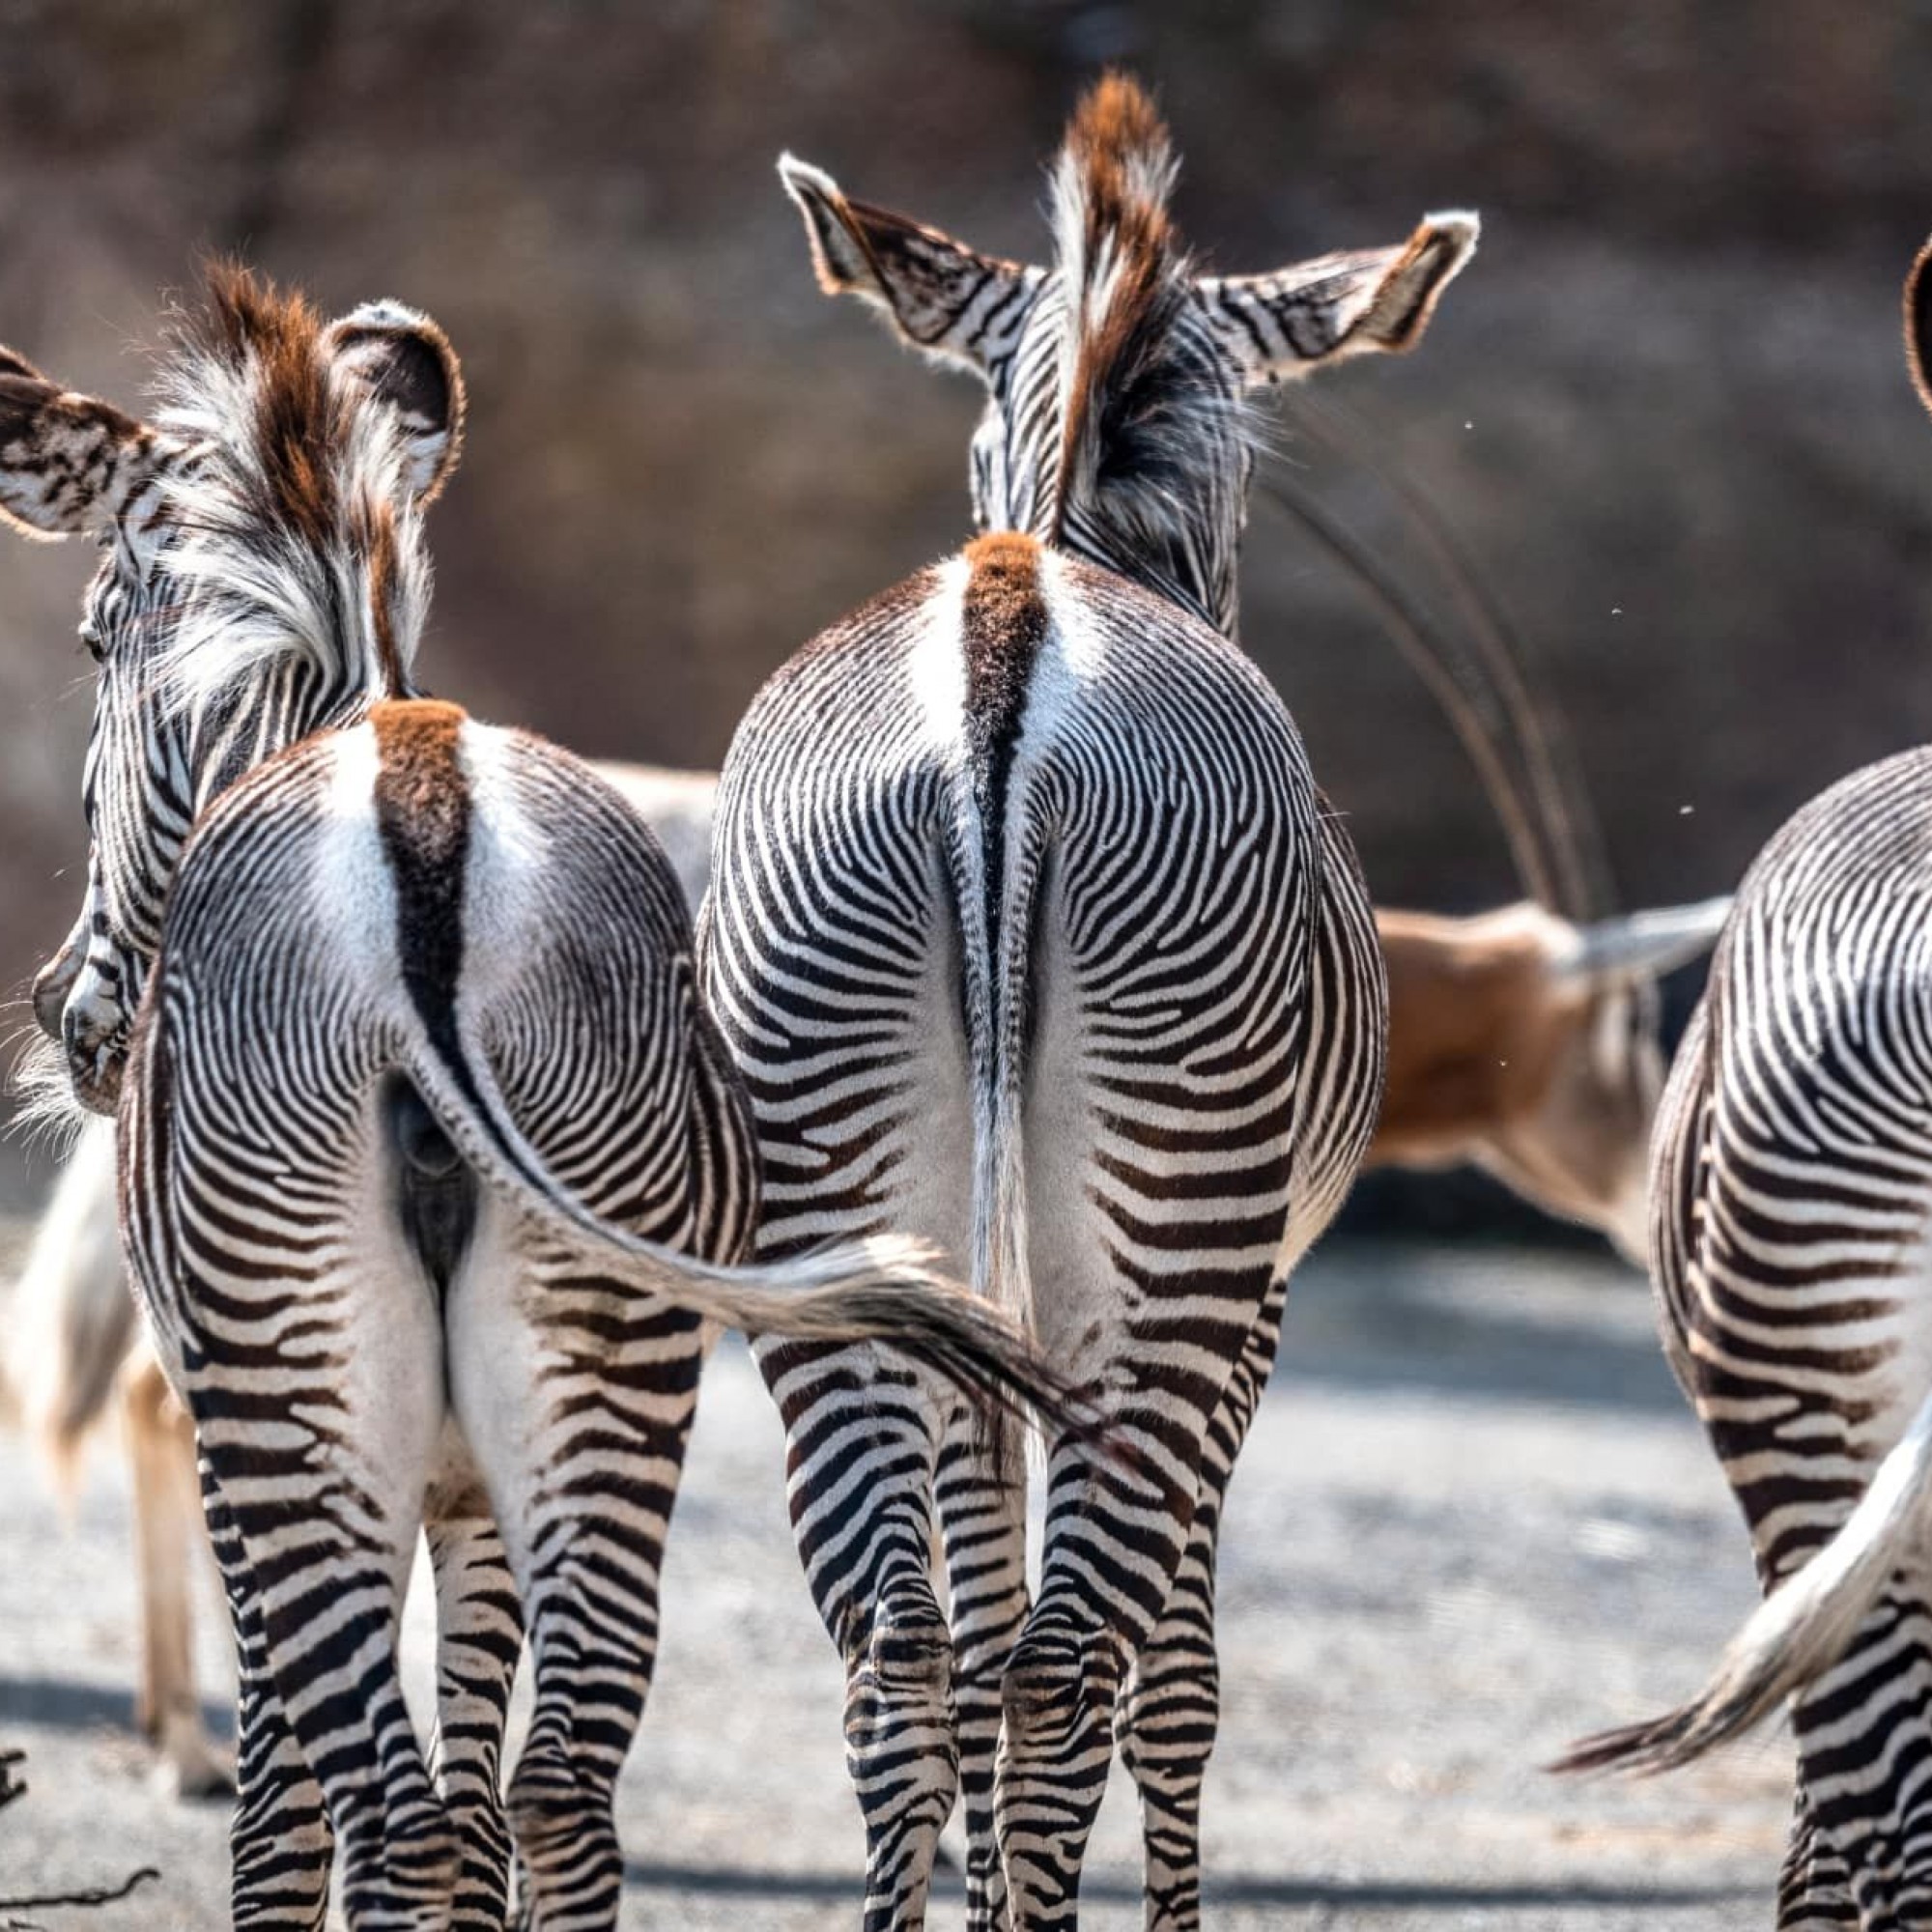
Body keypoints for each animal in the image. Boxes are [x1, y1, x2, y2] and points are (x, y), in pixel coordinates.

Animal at [0, 269, 1090, 1932]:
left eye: (92, 634)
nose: (81, 1025)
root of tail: (419, 846)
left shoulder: (259, 1453)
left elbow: (293, 1823)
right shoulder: (467, 1492)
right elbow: (478, 1817)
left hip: (301, 1408)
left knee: (384, 1812)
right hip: (605, 1375)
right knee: (559, 1797)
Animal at [711, 75, 1476, 1932]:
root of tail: (1007, 631)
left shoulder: (976, 1305)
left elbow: (982, 1609)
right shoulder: (1255, 1301)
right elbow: (1175, 1679)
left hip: (828, 1206)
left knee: (901, 1650)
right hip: (1179, 1244)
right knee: (1073, 1667)